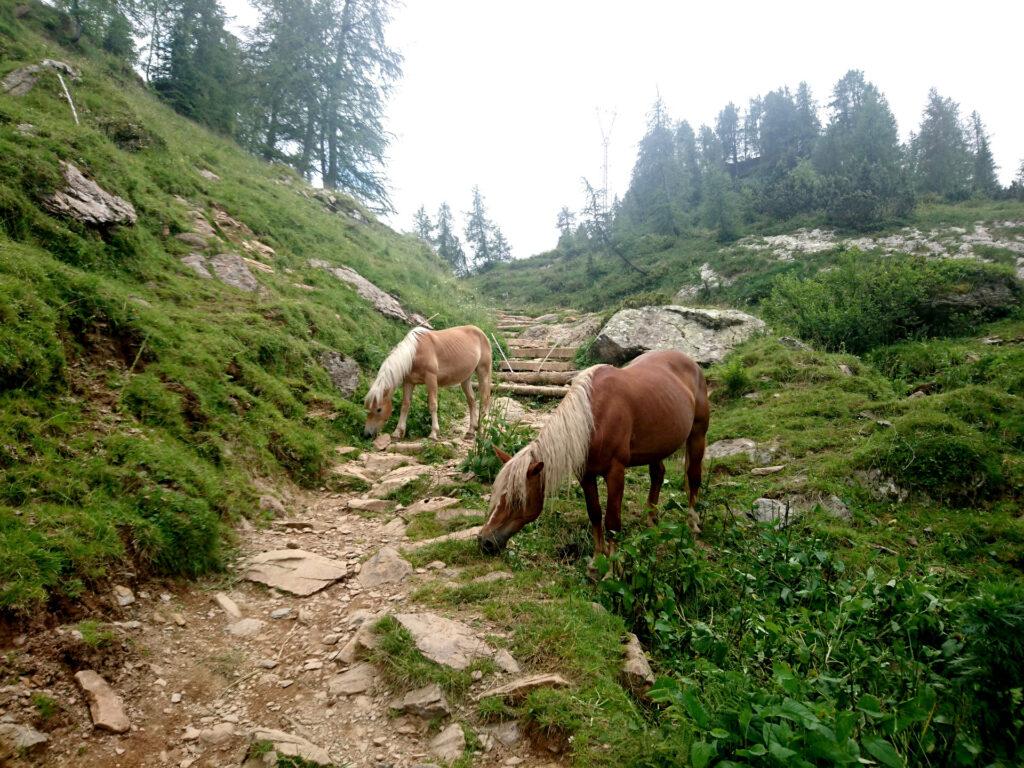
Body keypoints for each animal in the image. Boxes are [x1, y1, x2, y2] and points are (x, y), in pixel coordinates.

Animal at [475, 352, 708, 561]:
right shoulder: (585, 475)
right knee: (658, 475)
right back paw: (651, 519)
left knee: (694, 476)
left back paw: (693, 523)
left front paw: (612, 568)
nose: (485, 541)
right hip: (657, 447)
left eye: (516, 499)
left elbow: (612, 521)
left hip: (697, 435)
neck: (593, 420)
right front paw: (597, 559)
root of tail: (691, 363)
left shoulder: (615, 472)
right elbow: (595, 514)